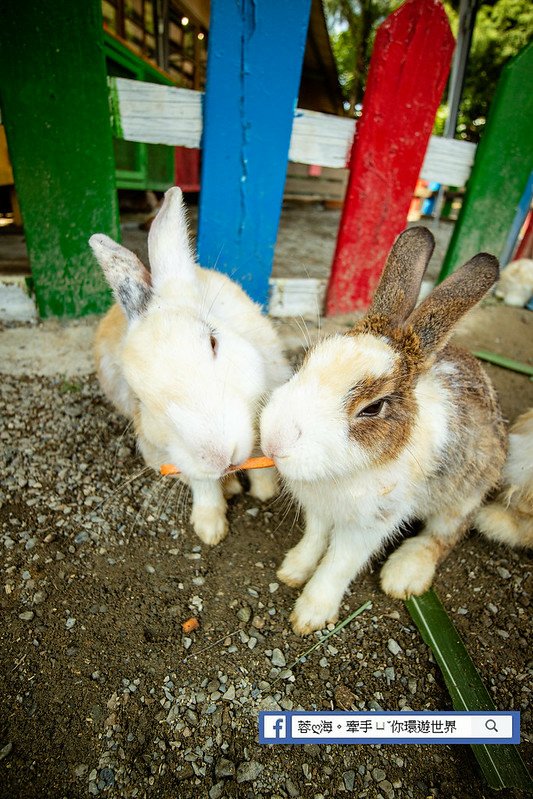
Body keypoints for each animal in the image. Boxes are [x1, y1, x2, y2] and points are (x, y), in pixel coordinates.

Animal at [91, 189, 290, 552]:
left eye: (212, 341)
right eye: (140, 399)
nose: (218, 456)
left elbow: (263, 453)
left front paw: (265, 489)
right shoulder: (177, 456)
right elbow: (203, 485)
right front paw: (210, 528)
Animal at [260, 228, 504, 636]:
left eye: (373, 408)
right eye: (308, 359)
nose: (274, 441)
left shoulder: (370, 525)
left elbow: (337, 565)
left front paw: (310, 614)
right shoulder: (319, 512)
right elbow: (314, 540)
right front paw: (292, 570)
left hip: (464, 495)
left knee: (444, 536)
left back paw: (403, 575)